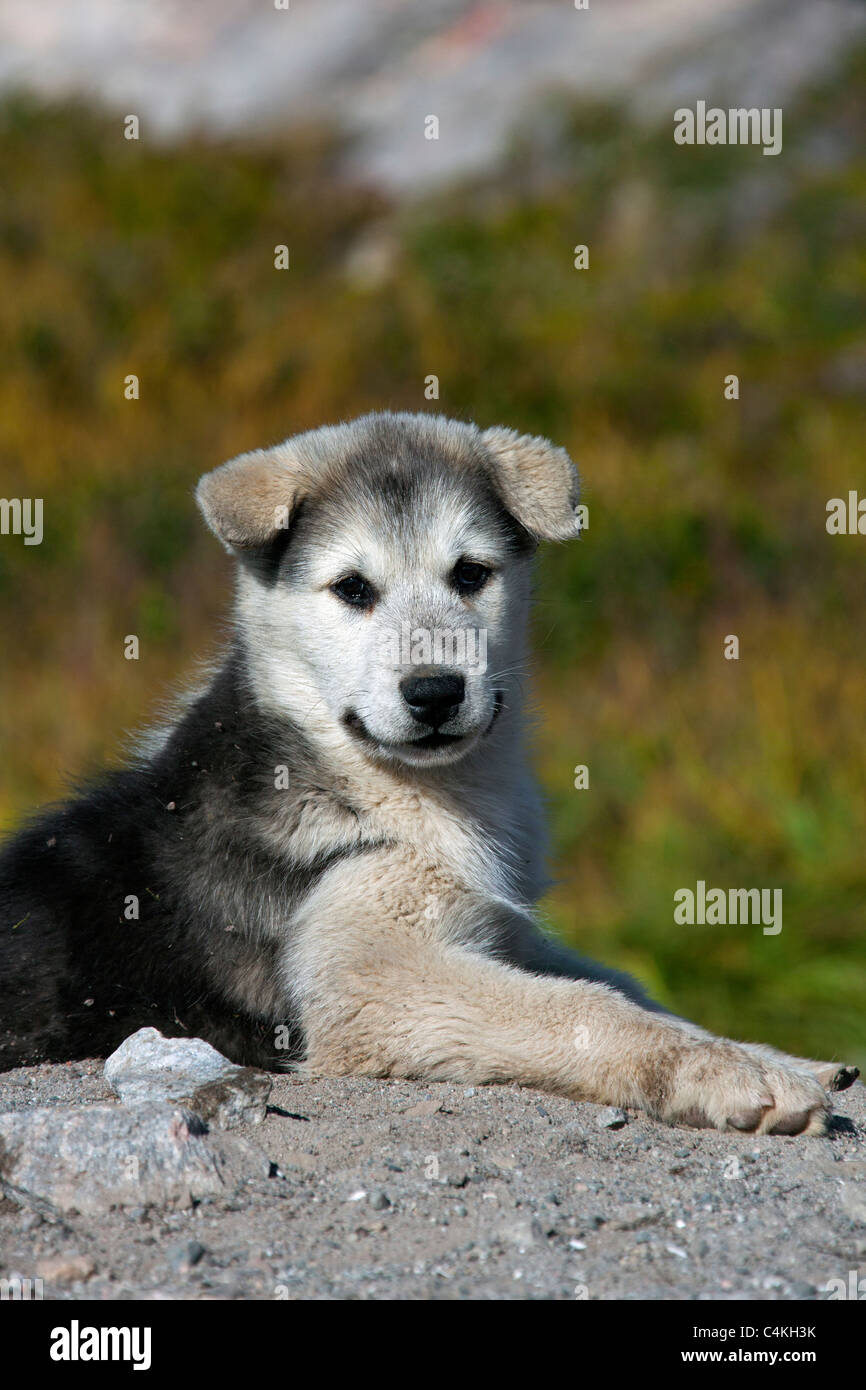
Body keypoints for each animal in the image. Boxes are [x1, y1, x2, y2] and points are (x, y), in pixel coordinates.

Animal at [0, 411, 856, 1128]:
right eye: (352, 589)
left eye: (471, 574)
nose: (436, 691)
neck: (384, 787)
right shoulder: (371, 973)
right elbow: (584, 1006)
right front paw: (720, 1071)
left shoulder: (495, 929)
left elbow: (627, 987)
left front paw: (777, 1056)